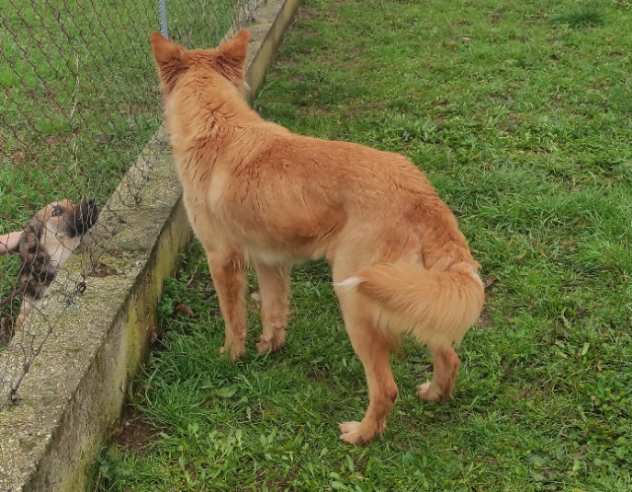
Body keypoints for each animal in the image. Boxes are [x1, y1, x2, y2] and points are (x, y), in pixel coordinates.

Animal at [152, 31, 484, 446]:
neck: (216, 122)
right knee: (449, 354)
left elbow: (234, 318)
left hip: (356, 300)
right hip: (411, 294)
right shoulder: (270, 261)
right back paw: (435, 393)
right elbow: (273, 311)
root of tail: (420, 192)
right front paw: (269, 348)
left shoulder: (223, 258)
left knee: (386, 388)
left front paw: (231, 356)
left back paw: (361, 433)